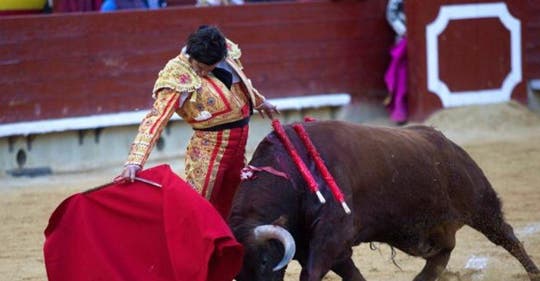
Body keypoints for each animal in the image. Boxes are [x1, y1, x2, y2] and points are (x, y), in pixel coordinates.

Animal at [229, 120, 540, 280]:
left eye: (265, 260)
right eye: (237, 269)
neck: (294, 174)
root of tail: (447, 142)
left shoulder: (332, 235)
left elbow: (314, 273)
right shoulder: (319, 244)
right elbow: (351, 273)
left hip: (480, 204)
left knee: (507, 237)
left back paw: (533, 272)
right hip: (430, 229)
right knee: (443, 252)